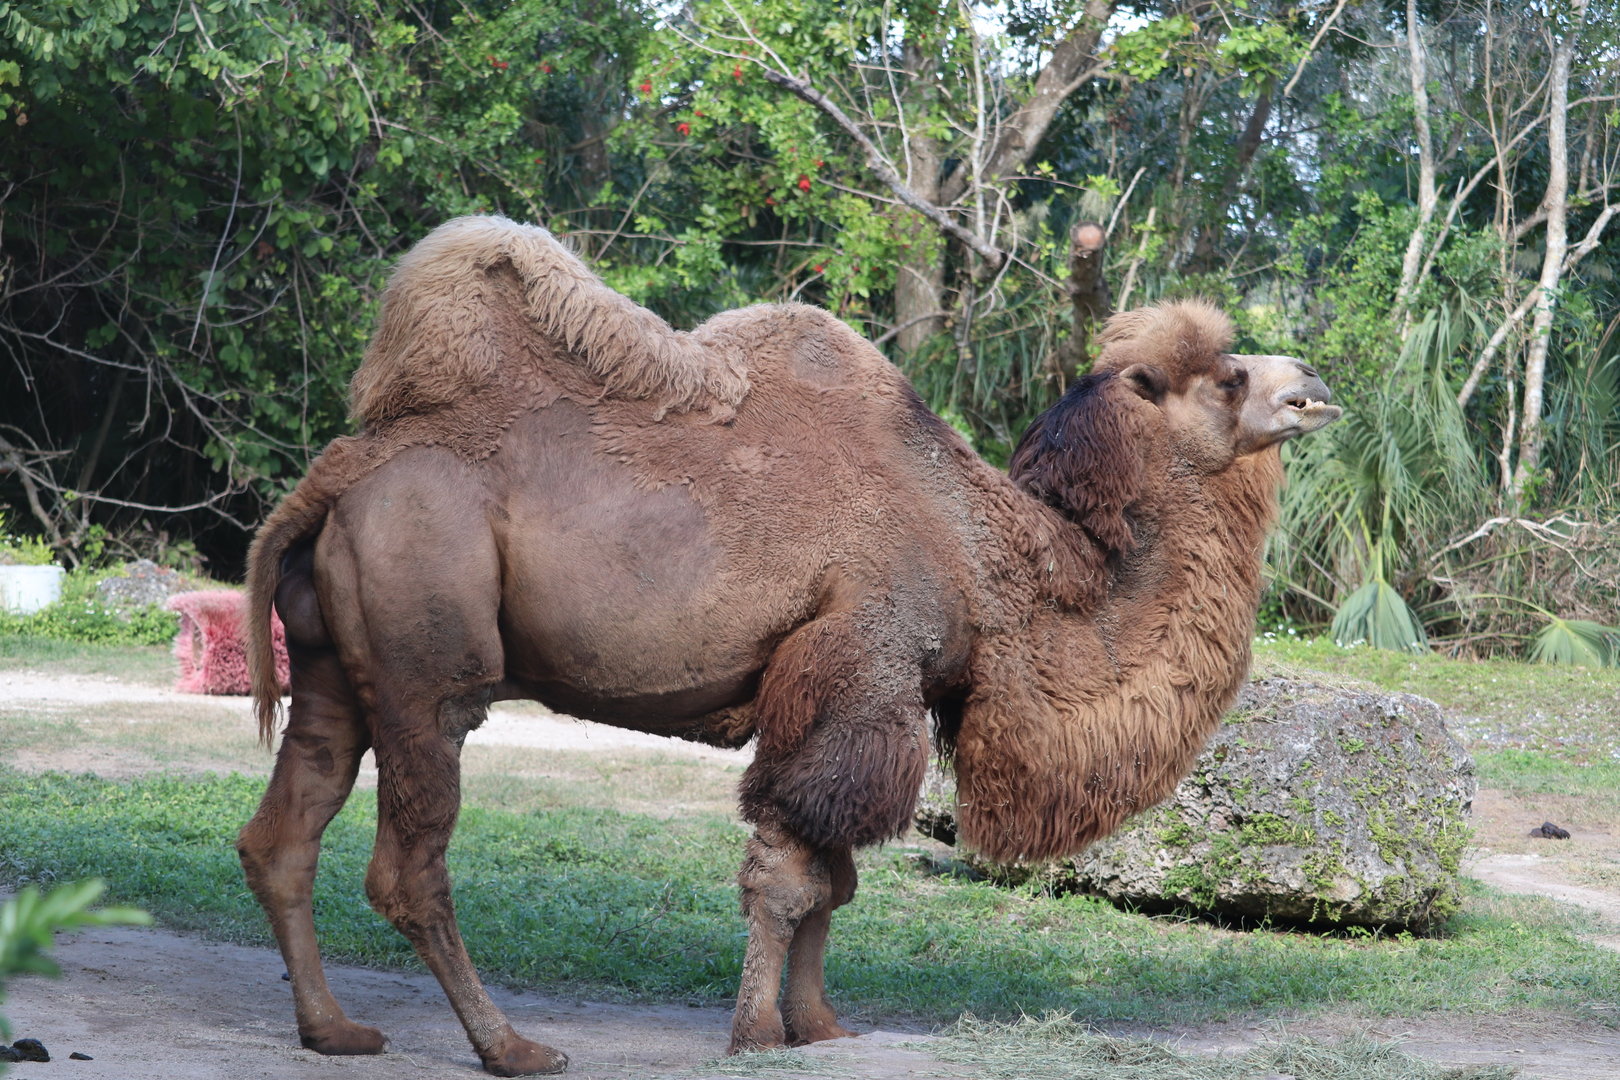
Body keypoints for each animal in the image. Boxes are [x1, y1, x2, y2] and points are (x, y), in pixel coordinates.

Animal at [236, 215, 1341, 1077]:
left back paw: (334, 1031)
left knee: (282, 833)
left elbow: (835, 870)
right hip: (426, 641)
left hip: (334, 661)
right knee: (409, 860)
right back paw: (512, 1048)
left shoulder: (864, 686)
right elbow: (793, 868)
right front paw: (757, 1033)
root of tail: (340, 471)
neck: (995, 562)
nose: (1314, 384)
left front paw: (821, 1025)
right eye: (1229, 375)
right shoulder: (860, 663)